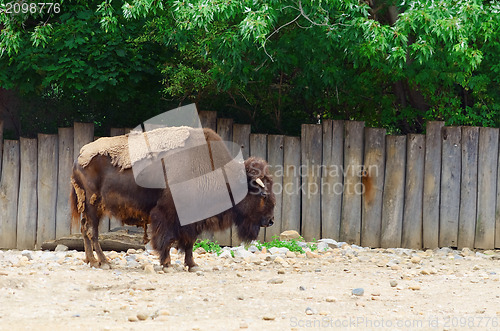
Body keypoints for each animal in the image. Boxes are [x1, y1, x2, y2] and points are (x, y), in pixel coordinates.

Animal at [70, 128, 276, 272]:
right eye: (263, 194)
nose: (271, 220)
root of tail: (79, 156)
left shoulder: (191, 220)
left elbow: (189, 242)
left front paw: (192, 265)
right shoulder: (167, 215)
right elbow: (167, 240)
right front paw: (167, 264)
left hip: (90, 208)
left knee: (85, 230)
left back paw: (92, 261)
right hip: (92, 205)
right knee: (92, 232)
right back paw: (103, 262)